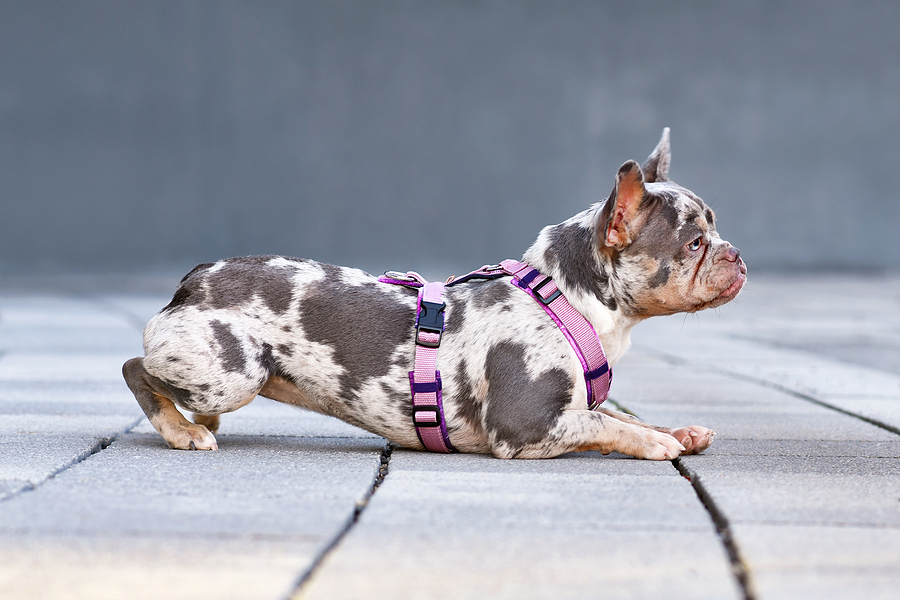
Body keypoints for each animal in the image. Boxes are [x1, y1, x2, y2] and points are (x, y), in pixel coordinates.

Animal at [123, 129, 748, 460]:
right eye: (695, 242)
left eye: (716, 231)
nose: (735, 253)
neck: (567, 299)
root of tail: (193, 280)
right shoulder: (527, 426)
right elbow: (604, 424)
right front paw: (653, 443)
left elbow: (619, 413)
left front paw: (674, 431)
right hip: (235, 371)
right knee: (137, 368)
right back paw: (182, 430)